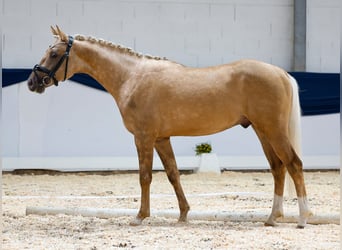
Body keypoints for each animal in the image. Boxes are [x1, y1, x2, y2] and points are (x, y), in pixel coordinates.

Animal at [26, 26, 312, 228]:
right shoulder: (162, 138)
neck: (132, 77)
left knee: (294, 164)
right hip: (262, 131)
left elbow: (145, 176)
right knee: (278, 168)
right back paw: (272, 217)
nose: (32, 82)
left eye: (54, 54)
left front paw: (140, 216)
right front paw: (183, 214)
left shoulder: (143, 137)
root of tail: (281, 73)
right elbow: (173, 174)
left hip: (273, 130)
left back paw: (302, 218)